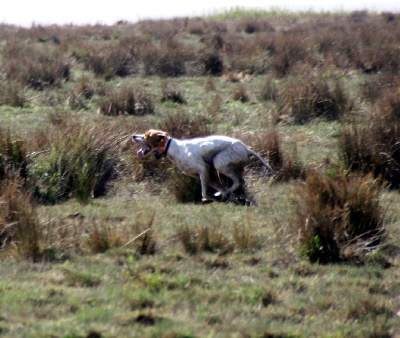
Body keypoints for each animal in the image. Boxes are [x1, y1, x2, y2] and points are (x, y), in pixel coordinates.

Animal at [133, 129, 276, 203]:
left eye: (145, 136)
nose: (133, 135)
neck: (173, 148)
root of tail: (246, 148)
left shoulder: (204, 169)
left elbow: (204, 194)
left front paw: (214, 198)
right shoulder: (209, 177)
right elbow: (216, 191)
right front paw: (230, 198)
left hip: (219, 163)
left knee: (238, 181)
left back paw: (223, 194)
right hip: (223, 170)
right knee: (234, 183)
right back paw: (225, 194)